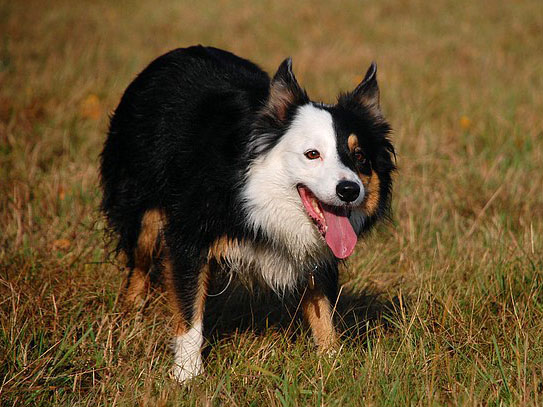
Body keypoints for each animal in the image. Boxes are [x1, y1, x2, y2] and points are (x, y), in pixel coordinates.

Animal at [99, 46, 396, 384]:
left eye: (360, 157)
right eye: (312, 154)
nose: (349, 190)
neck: (255, 191)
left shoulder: (317, 255)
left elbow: (322, 309)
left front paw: (333, 363)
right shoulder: (189, 235)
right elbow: (189, 309)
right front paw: (187, 374)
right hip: (142, 204)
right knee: (139, 265)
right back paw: (129, 321)